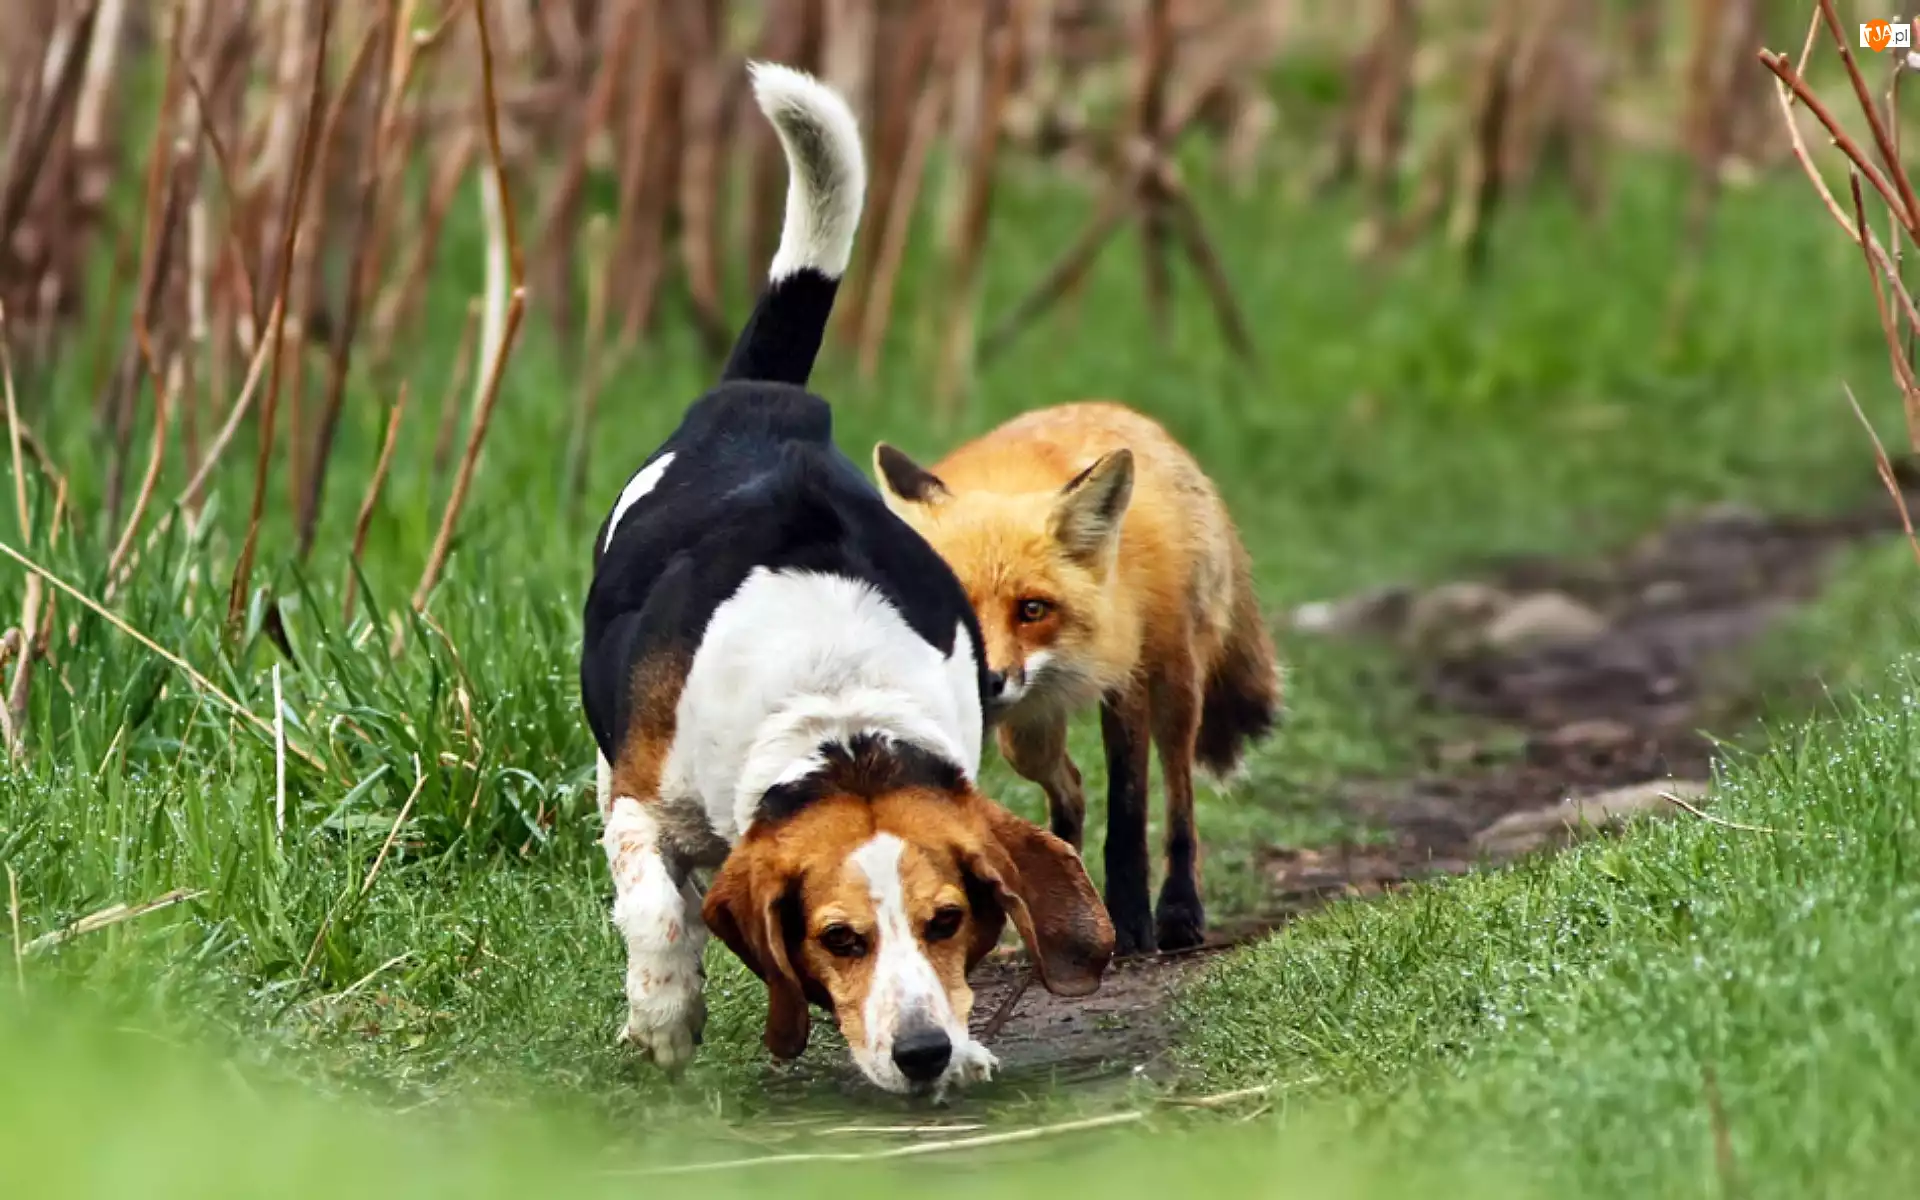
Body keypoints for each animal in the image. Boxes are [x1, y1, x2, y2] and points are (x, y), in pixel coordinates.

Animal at [576, 63, 1121, 1098]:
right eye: (840, 939)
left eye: (949, 920)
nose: (923, 1054)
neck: (839, 720)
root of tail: (766, 402)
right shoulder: (642, 800)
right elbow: (654, 906)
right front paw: (664, 1012)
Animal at [879, 403, 1282, 956]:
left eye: (1032, 610)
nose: (988, 681)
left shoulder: (1126, 682)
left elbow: (1128, 813)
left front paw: (1131, 923)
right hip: (1025, 738)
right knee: (1069, 788)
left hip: (1175, 684)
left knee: (1178, 797)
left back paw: (1179, 911)